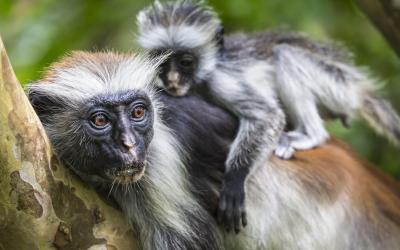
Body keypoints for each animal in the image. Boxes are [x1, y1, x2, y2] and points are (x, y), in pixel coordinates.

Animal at [137, 0, 400, 232]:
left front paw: (235, 178)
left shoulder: (220, 81)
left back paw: (311, 134)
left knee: (285, 55)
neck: (198, 84)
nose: (173, 80)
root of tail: (357, 87)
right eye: (163, 63)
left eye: (186, 62)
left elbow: (267, 116)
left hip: (335, 84)